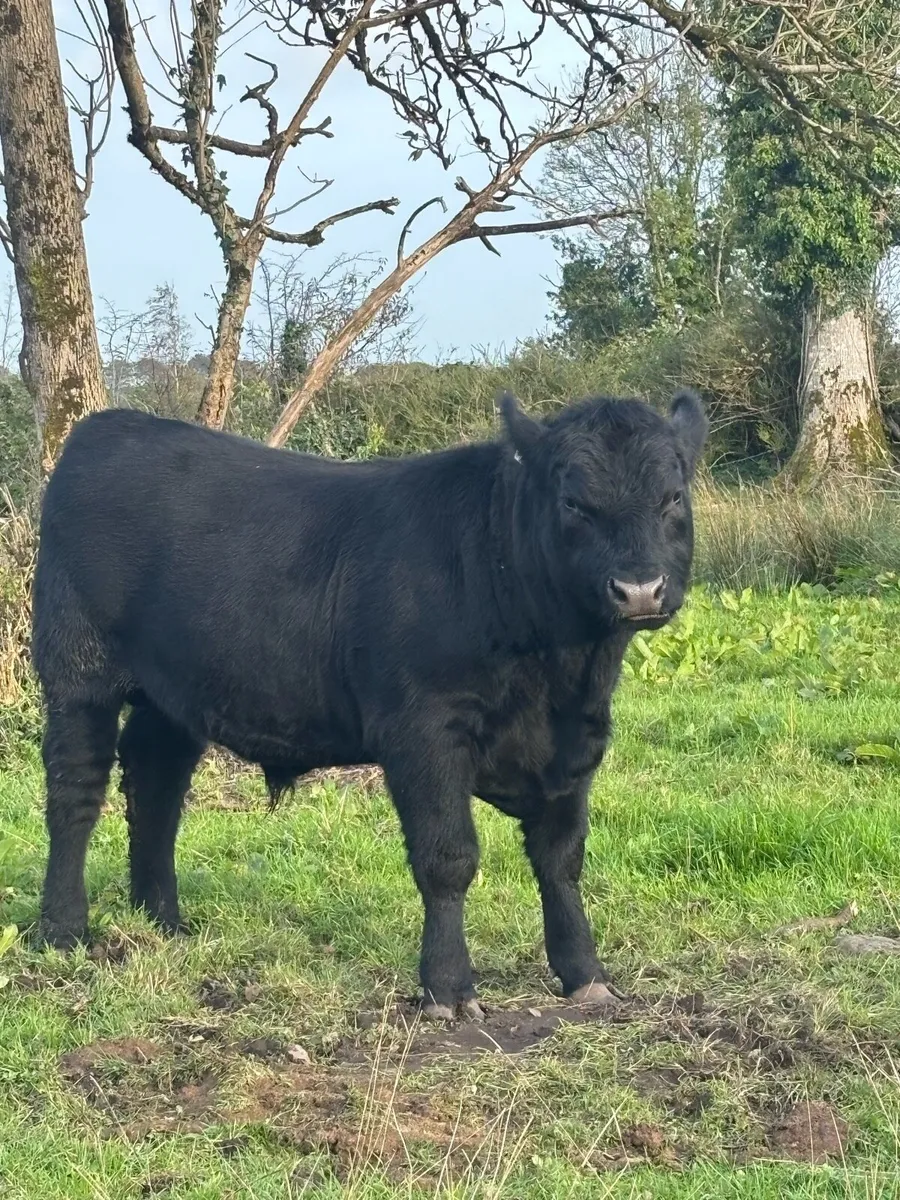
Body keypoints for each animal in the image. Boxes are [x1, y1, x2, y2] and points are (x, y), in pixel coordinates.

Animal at [32, 388, 707, 1019]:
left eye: (673, 497)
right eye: (573, 503)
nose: (639, 588)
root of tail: (109, 426)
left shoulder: (576, 739)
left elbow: (561, 858)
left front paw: (586, 974)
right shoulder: (424, 732)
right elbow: (448, 857)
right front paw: (448, 987)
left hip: (172, 692)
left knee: (155, 783)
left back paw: (164, 920)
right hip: (77, 671)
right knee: (75, 792)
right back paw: (63, 929)